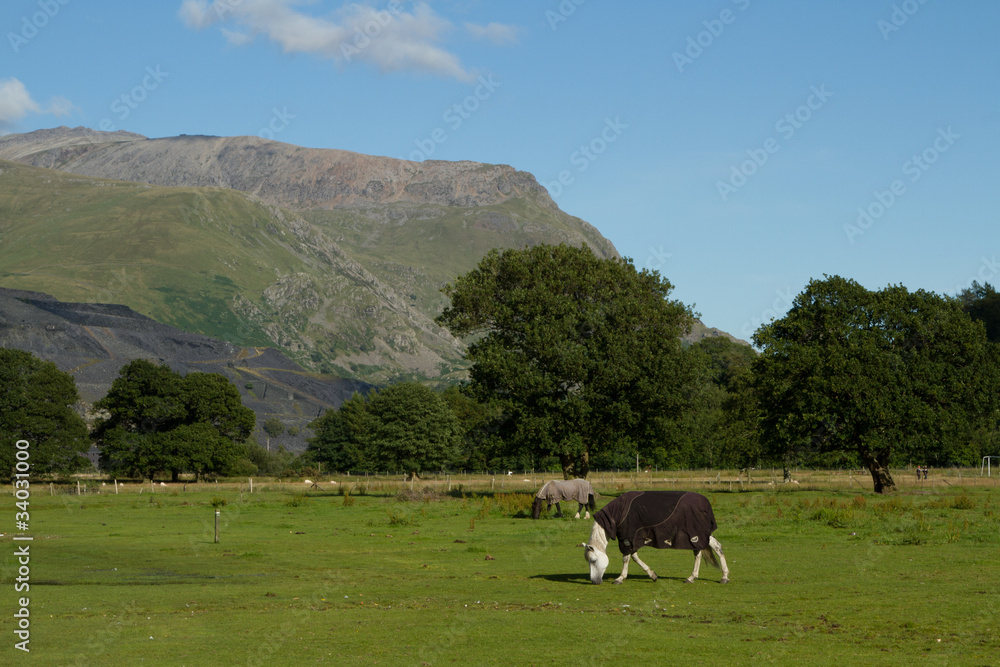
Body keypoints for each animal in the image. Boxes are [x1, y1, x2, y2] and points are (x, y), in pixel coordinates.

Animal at [576, 490, 732, 584]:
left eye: (593, 560)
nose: (594, 581)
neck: (619, 513)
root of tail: (705, 502)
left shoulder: (627, 538)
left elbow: (626, 558)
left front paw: (620, 578)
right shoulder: (632, 539)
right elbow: (635, 557)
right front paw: (652, 575)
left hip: (695, 535)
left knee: (699, 553)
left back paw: (694, 577)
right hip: (702, 534)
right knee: (716, 547)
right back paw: (723, 576)